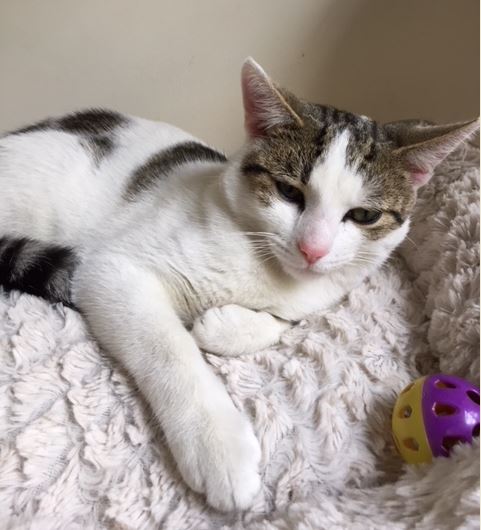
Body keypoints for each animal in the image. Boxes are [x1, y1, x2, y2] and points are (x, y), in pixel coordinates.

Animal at [0, 58, 478, 511]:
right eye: (289, 192)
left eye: (363, 216)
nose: (313, 248)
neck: (269, 269)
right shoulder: (112, 268)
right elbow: (167, 347)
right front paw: (218, 447)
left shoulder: (325, 293)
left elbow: (286, 320)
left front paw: (224, 325)